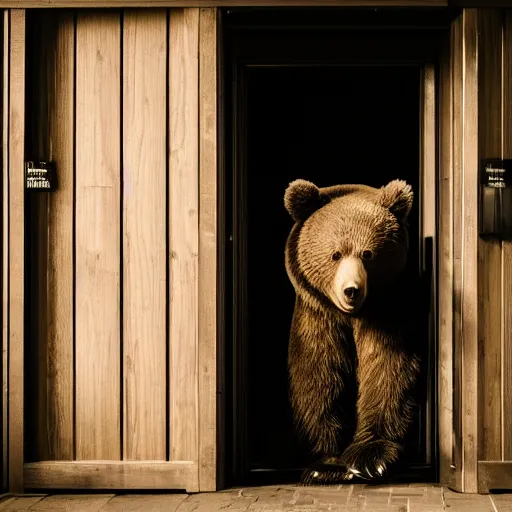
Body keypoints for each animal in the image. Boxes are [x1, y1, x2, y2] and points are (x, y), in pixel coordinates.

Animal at [284, 179, 420, 484]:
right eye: (335, 254)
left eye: (368, 254)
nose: (351, 290)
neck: (351, 316)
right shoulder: (318, 313)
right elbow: (320, 374)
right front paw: (326, 465)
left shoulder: (387, 313)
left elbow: (388, 368)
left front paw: (369, 460)